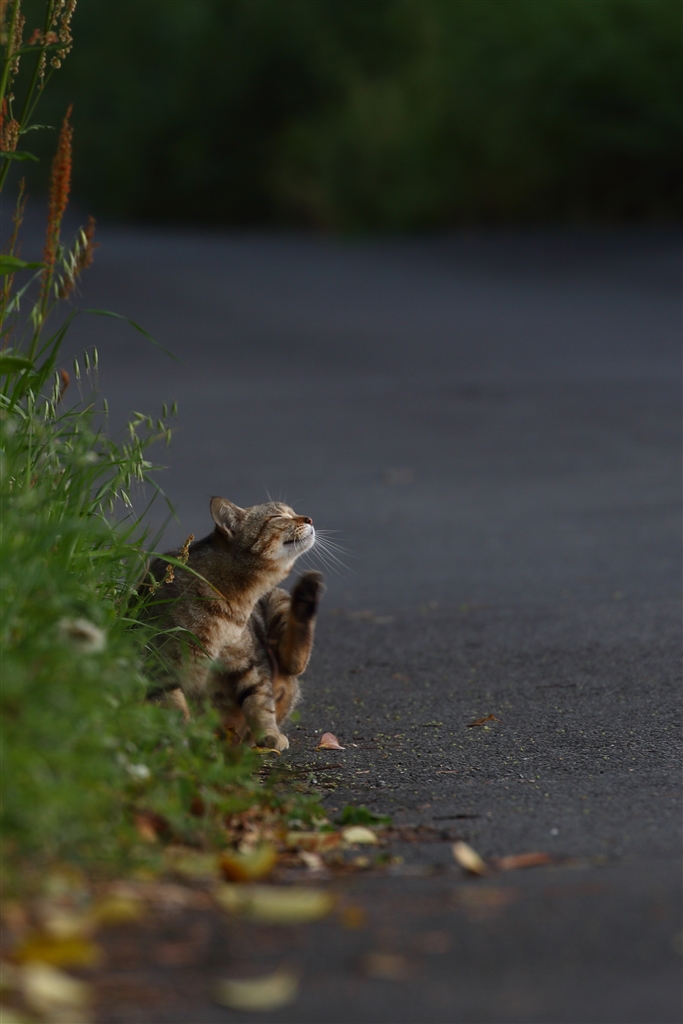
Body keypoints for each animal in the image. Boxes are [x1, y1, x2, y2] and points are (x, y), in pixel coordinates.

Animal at [141, 496, 323, 751]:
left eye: (293, 512)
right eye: (278, 516)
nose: (309, 519)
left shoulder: (250, 663)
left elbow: (260, 703)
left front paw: (269, 732)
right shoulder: (160, 667)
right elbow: (175, 710)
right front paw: (183, 740)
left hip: (278, 600)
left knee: (293, 662)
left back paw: (307, 594)